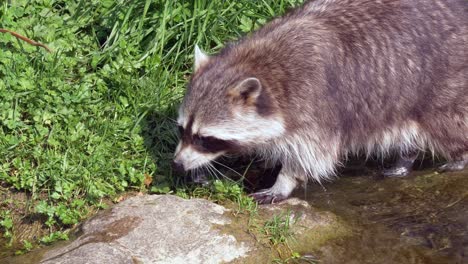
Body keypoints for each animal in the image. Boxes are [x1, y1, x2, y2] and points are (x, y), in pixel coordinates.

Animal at [172, 0, 468, 204]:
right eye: (182, 130)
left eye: (205, 139)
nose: (177, 164)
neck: (257, 64)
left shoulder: (315, 102)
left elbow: (311, 155)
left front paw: (284, 180)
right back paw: (404, 159)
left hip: (444, 84)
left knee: (447, 123)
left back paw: (458, 156)